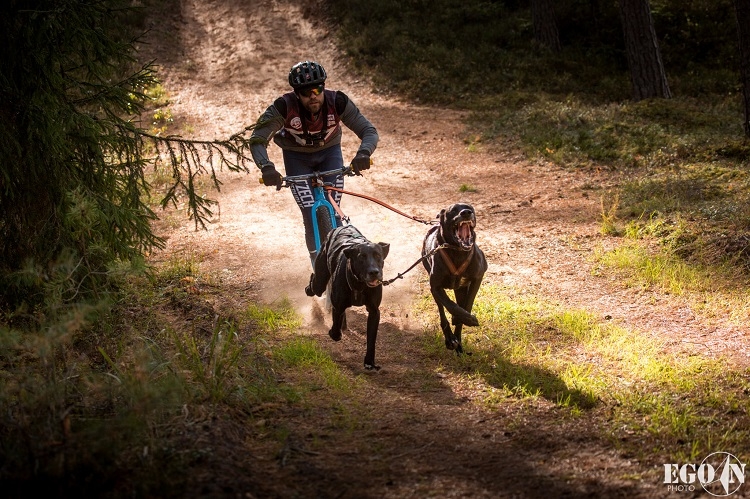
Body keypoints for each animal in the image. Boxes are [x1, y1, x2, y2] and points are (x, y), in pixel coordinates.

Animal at [306, 227, 390, 372]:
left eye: (378, 255)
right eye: (361, 257)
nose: (374, 272)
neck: (359, 284)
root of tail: (339, 228)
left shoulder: (374, 311)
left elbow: (371, 339)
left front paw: (369, 362)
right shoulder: (338, 306)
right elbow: (335, 330)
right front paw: (334, 333)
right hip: (320, 281)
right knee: (314, 283)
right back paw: (308, 289)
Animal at [420, 203, 490, 356]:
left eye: (471, 208)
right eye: (452, 210)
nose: (466, 212)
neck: (457, 251)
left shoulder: (477, 277)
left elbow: (467, 304)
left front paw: (464, 318)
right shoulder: (435, 286)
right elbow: (450, 304)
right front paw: (460, 318)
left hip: (461, 289)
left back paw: (458, 341)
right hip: (436, 290)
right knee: (442, 311)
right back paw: (450, 339)